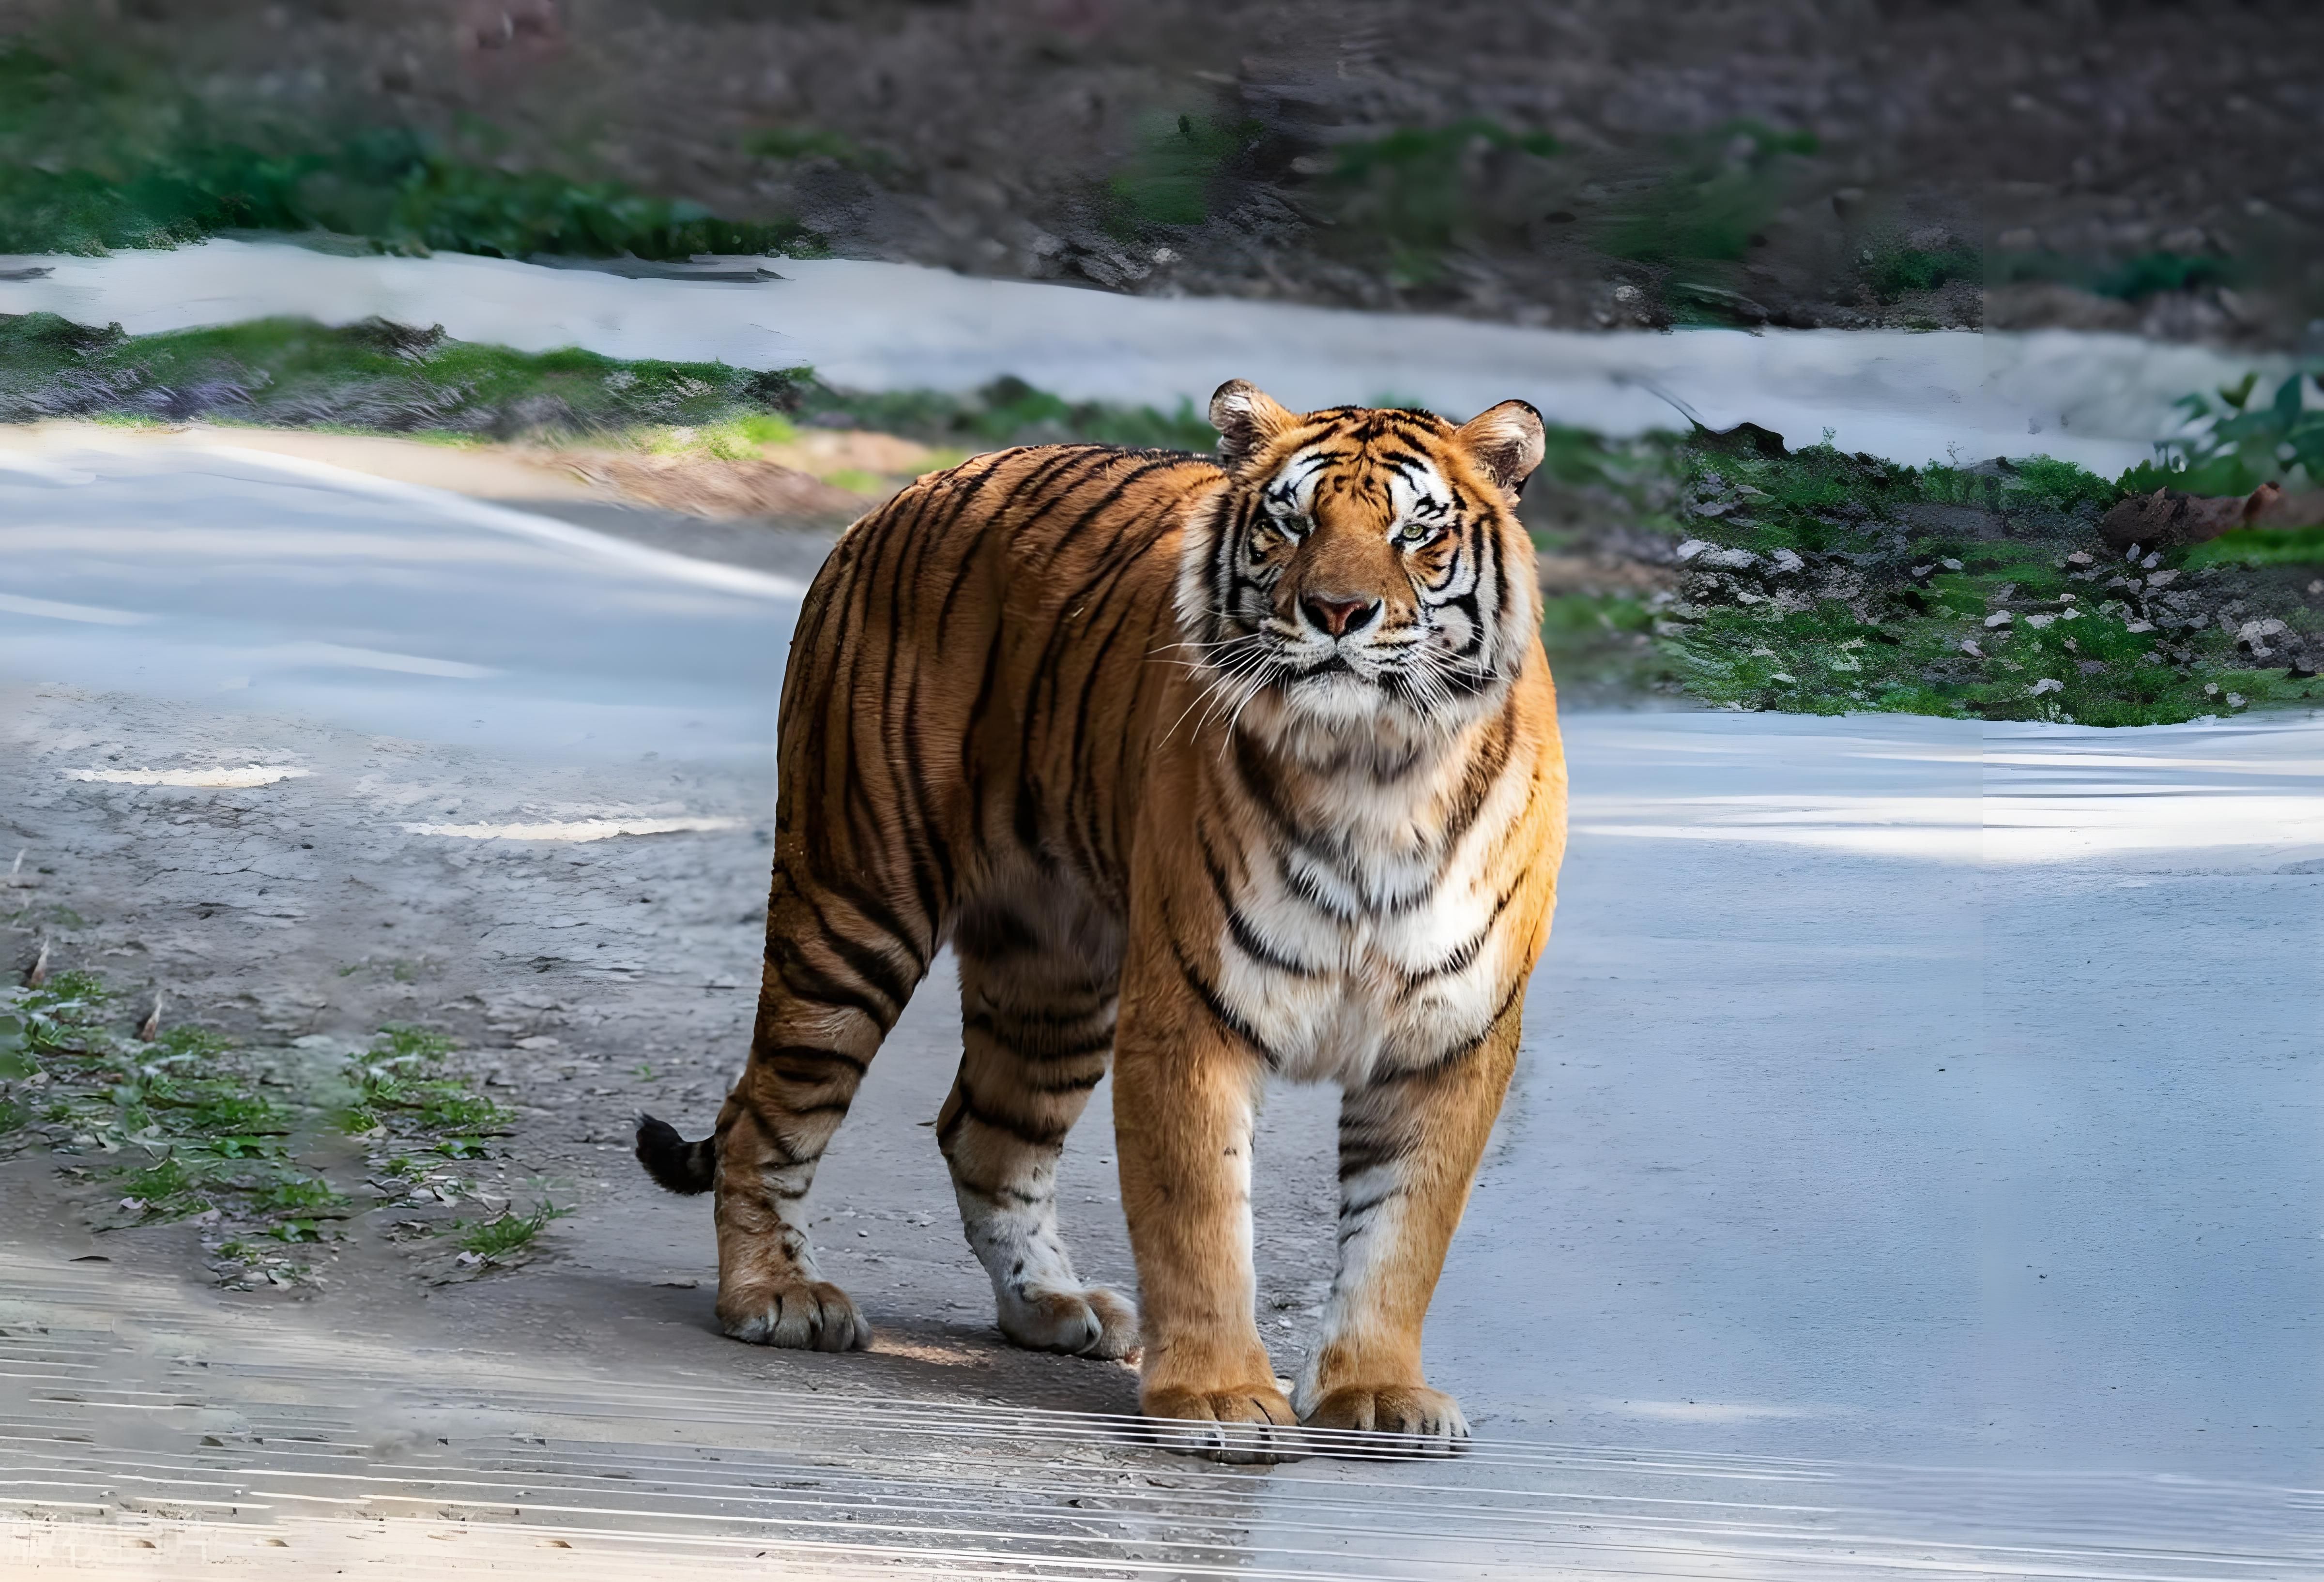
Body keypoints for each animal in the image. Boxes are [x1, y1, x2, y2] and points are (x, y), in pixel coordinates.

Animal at [637, 379, 1571, 1459]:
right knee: (764, 1110)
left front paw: (1376, 1389)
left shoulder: (1449, 1036)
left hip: (1057, 967)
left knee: (984, 1129)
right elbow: (1201, 1217)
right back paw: (777, 1295)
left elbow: (1403, 1234)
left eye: (1416, 530)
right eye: (1292, 521)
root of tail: (910, 489)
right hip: (854, 907)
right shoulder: (1194, 1011)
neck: (1373, 768)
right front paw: (1219, 1394)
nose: (1337, 610)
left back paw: (1050, 1304)